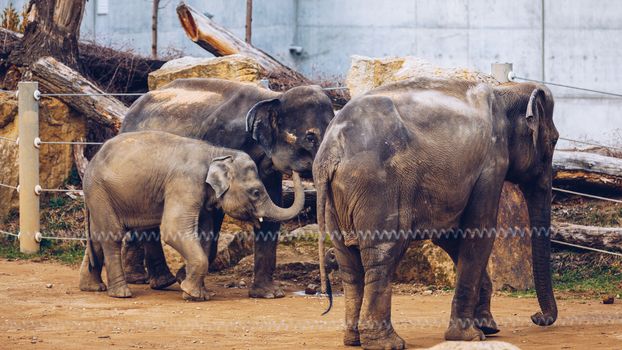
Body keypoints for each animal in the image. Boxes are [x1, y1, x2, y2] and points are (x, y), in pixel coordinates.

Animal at [78, 131, 304, 300]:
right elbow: (173, 229)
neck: (216, 153)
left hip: (100, 195)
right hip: (101, 191)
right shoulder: (185, 182)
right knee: (112, 235)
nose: (294, 169)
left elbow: (205, 233)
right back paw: (121, 293)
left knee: (97, 237)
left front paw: (198, 293)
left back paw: (93, 288)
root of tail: (91, 162)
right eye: (256, 192)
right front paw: (191, 292)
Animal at [121, 77, 336, 298]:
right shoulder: (221, 143)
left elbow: (273, 208)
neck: (273, 97)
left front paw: (268, 294)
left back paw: (142, 278)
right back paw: (163, 281)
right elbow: (210, 214)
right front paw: (184, 279)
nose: (321, 291)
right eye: (310, 137)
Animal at [316, 78, 560, 348]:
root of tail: (331, 152)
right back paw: (388, 343)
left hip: (335, 201)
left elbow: (449, 236)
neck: (505, 91)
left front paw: (487, 327)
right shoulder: (491, 164)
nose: (537, 317)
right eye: (554, 141)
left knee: (348, 262)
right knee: (383, 254)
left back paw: (354, 340)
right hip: (377, 188)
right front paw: (470, 336)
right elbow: (480, 232)